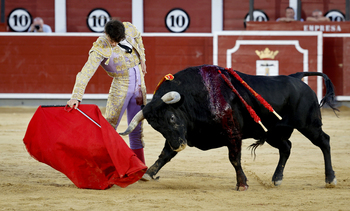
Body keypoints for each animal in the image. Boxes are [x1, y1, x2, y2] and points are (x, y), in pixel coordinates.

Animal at [119, 65, 336, 190]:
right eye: (157, 127)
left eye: (171, 118)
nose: (179, 145)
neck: (195, 98)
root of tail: (296, 77)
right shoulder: (181, 135)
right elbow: (165, 155)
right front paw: (148, 174)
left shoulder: (233, 134)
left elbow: (234, 159)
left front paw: (242, 184)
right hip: (273, 132)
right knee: (286, 147)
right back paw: (277, 179)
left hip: (309, 125)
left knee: (324, 142)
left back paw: (330, 178)